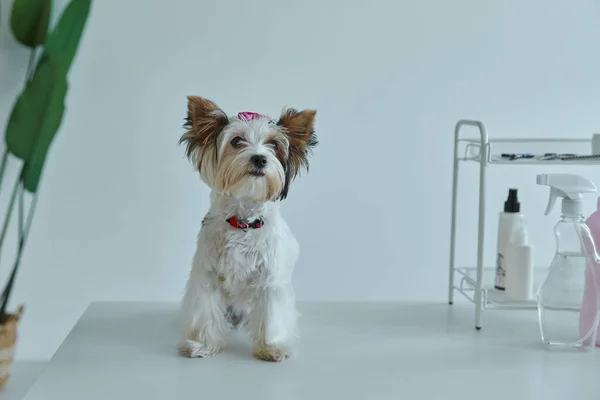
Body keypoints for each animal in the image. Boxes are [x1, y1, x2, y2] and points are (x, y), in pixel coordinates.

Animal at [178, 95, 318, 360]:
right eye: (236, 141)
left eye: (273, 144)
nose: (259, 158)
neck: (243, 222)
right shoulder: (208, 274)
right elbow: (206, 310)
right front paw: (203, 344)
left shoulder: (270, 279)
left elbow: (272, 315)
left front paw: (272, 346)